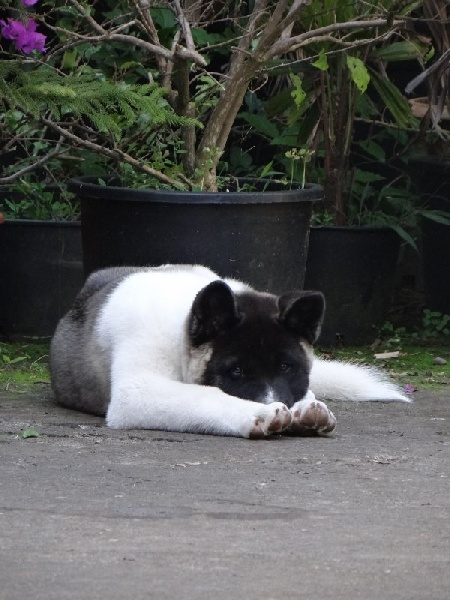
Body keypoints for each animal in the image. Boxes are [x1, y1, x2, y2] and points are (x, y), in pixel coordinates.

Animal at [51, 264, 410, 438]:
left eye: (287, 367)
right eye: (236, 371)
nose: (274, 403)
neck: (182, 324)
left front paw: (308, 408)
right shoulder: (137, 392)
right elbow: (204, 395)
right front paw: (257, 414)